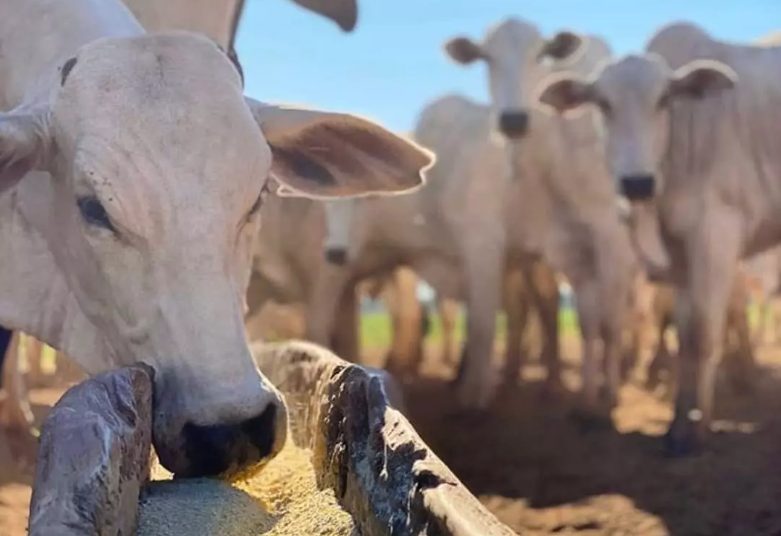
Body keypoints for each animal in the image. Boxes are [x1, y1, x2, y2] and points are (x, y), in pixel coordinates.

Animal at [444, 18, 640, 414]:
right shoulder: (563, 251)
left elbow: (609, 320)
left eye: (541, 54)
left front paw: (607, 396)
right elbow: (583, 319)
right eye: (485, 58)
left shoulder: (611, 240)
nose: (513, 120)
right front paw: (585, 395)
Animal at [536, 23, 780, 454]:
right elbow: (683, 336)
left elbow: (703, 335)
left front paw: (696, 431)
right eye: (603, 103)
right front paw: (678, 422)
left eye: (665, 99)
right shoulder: (679, 255)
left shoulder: (716, 235)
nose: (637, 183)